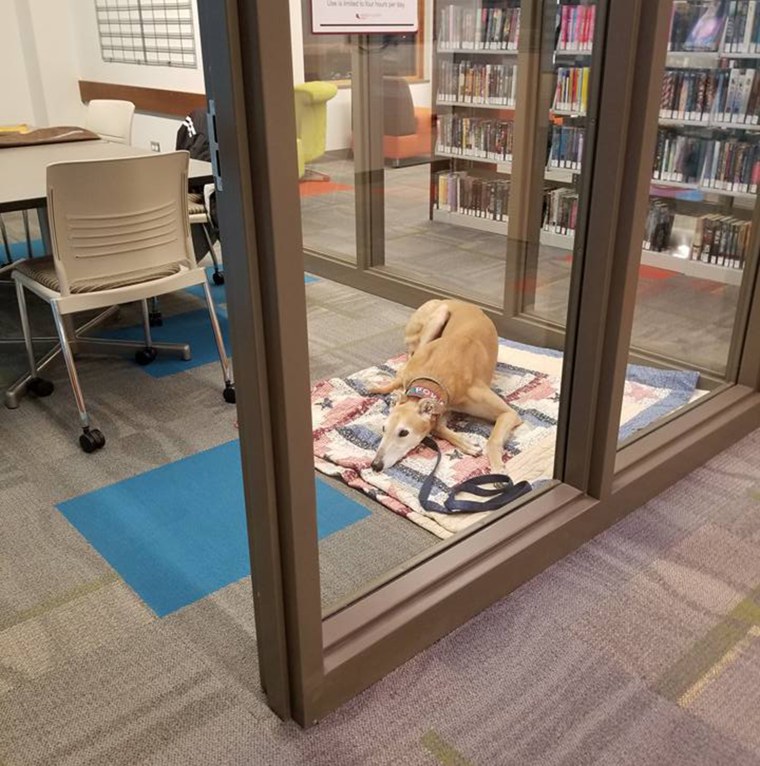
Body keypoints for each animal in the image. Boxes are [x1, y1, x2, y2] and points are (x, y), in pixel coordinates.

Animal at [368, 300, 524, 474]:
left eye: (403, 432)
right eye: (383, 428)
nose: (375, 465)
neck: (432, 377)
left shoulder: (509, 413)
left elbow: (493, 439)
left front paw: (497, 467)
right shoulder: (444, 404)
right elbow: (436, 427)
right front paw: (467, 443)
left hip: (440, 314)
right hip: (433, 321)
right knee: (407, 361)